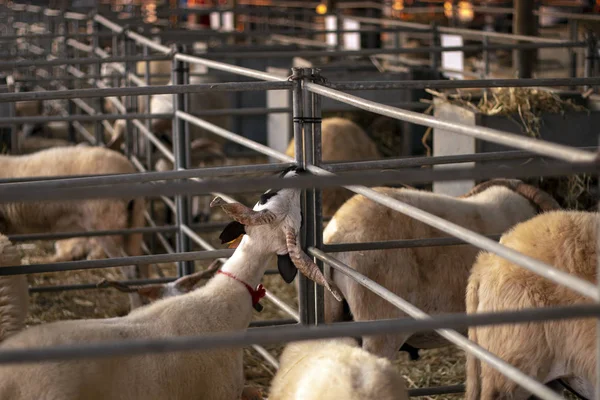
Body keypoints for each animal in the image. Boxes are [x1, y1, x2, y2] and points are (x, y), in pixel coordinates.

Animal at [0, 147, 148, 310]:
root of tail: (128, 168)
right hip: (133, 226)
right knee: (142, 264)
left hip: (107, 226)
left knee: (130, 269)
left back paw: (136, 307)